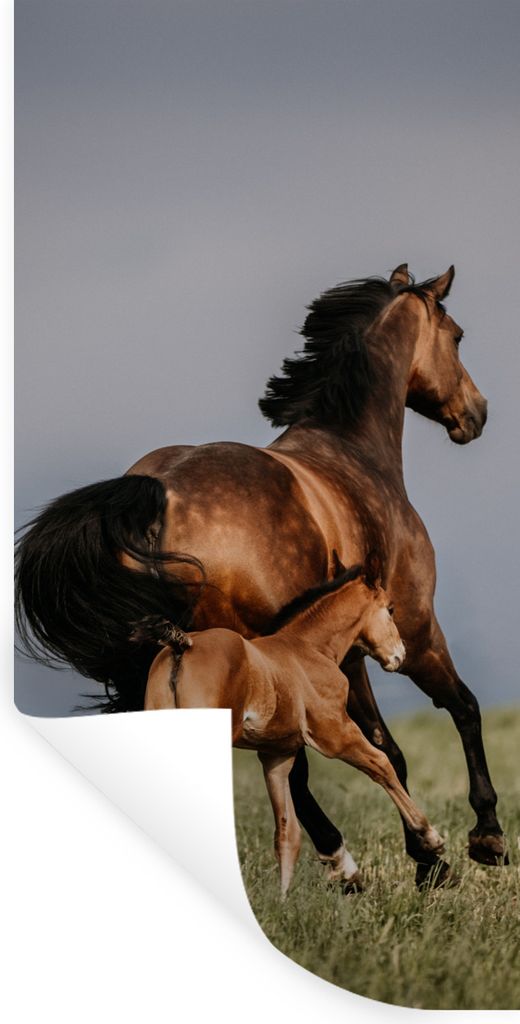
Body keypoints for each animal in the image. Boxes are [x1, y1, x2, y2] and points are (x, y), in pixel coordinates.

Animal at [136, 555, 444, 896]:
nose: (399, 655)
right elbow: (382, 765)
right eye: (390, 608)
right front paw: (431, 838)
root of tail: (183, 646)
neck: (308, 649)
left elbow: (287, 832)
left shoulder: (277, 756)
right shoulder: (336, 733)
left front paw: (282, 901)